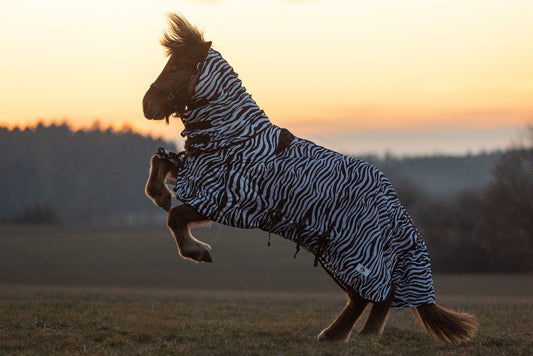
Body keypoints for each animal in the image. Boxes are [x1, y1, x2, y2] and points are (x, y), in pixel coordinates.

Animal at [141, 13, 478, 342]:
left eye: (176, 67)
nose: (147, 105)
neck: (237, 138)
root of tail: (394, 205)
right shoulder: (200, 174)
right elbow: (160, 163)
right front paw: (161, 195)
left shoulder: (224, 200)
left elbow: (174, 217)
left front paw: (197, 252)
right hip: (336, 252)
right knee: (379, 295)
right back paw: (361, 335)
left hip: (350, 252)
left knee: (366, 295)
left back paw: (334, 334)